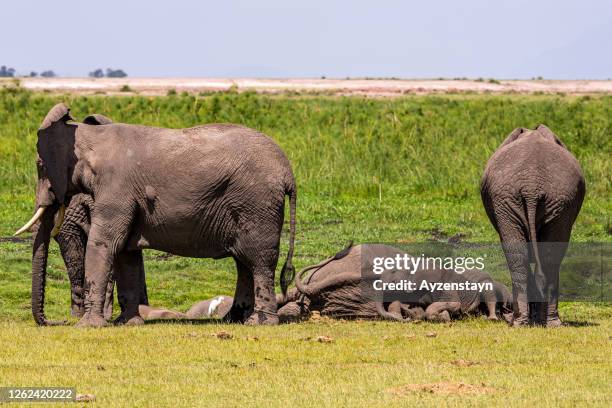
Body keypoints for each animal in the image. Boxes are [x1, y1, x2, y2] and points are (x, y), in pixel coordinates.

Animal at [15, 103, 298, 326]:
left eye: (40, 166)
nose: (56, 322)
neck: (93, 137)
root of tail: (288, 171)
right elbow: (125, 251)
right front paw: (127, 323)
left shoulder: (116, 188)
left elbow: (104, 243)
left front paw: (87, 326)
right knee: (243, 261)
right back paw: (233, 320)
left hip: (257, 203)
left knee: (259, 259)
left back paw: (259, 323)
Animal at [480, 126, 584, 326]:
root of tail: (531, 187)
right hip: (546, 199)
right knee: (542, 257)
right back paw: (539, 323)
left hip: (550, 199)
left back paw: (526, 322)